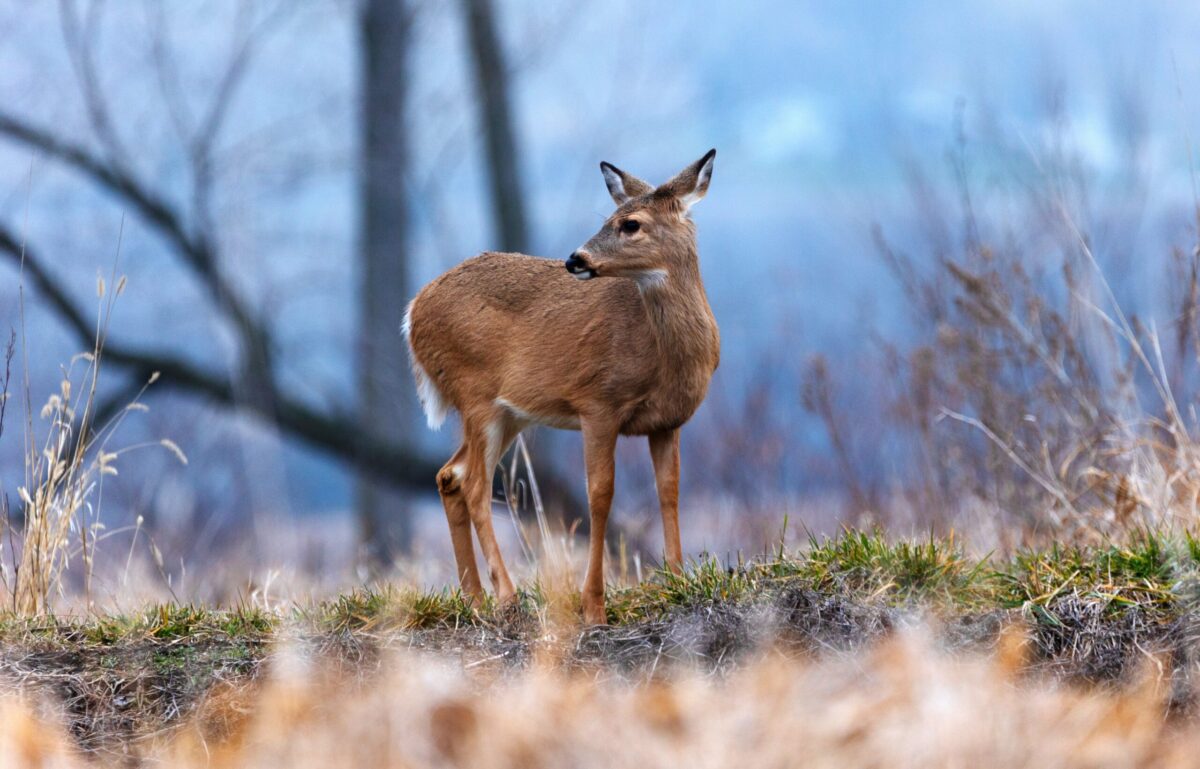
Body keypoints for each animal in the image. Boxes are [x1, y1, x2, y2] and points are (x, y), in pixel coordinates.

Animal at [404, 149, 720, 624]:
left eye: (631, 224)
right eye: (609, 216)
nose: (576, 259)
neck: (664, 357)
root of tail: (412, 312)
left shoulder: (669, 421)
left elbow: (669, 491)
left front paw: (678, 583)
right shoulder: (598, 403)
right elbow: (600, 494)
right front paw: (594, 607)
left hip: (509, 412)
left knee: (450, 475)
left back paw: (475, 599)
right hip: (475, 393)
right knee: (475, 484)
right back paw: (507, 596)